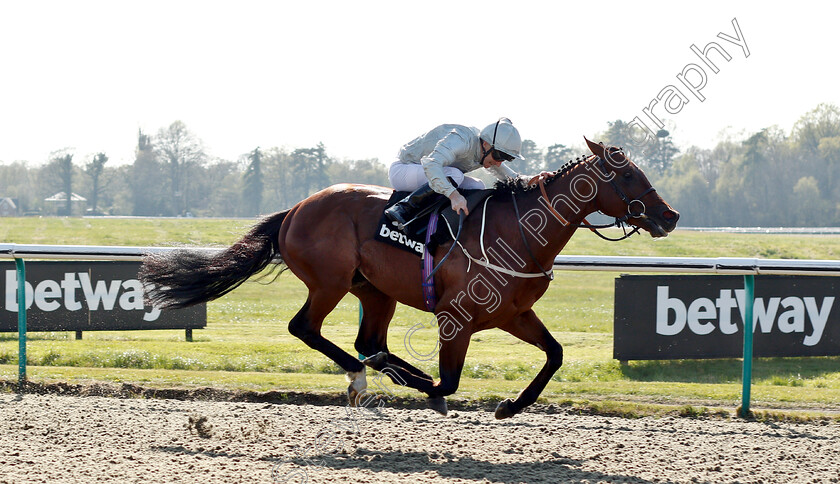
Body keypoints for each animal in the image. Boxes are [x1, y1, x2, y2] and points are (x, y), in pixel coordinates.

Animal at [141, 138, 680, 418]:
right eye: (627, 176)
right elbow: (450, 381)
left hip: (375, 290)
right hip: (330, 282)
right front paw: (431, 387)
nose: (670, 215)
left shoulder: (513, 313)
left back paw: (378, 373)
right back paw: (365, 376)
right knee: (308, 329)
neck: (520, 231)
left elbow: (555, 354)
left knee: (369, 341)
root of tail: (295, 209)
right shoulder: (454, 319)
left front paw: (510, 406)